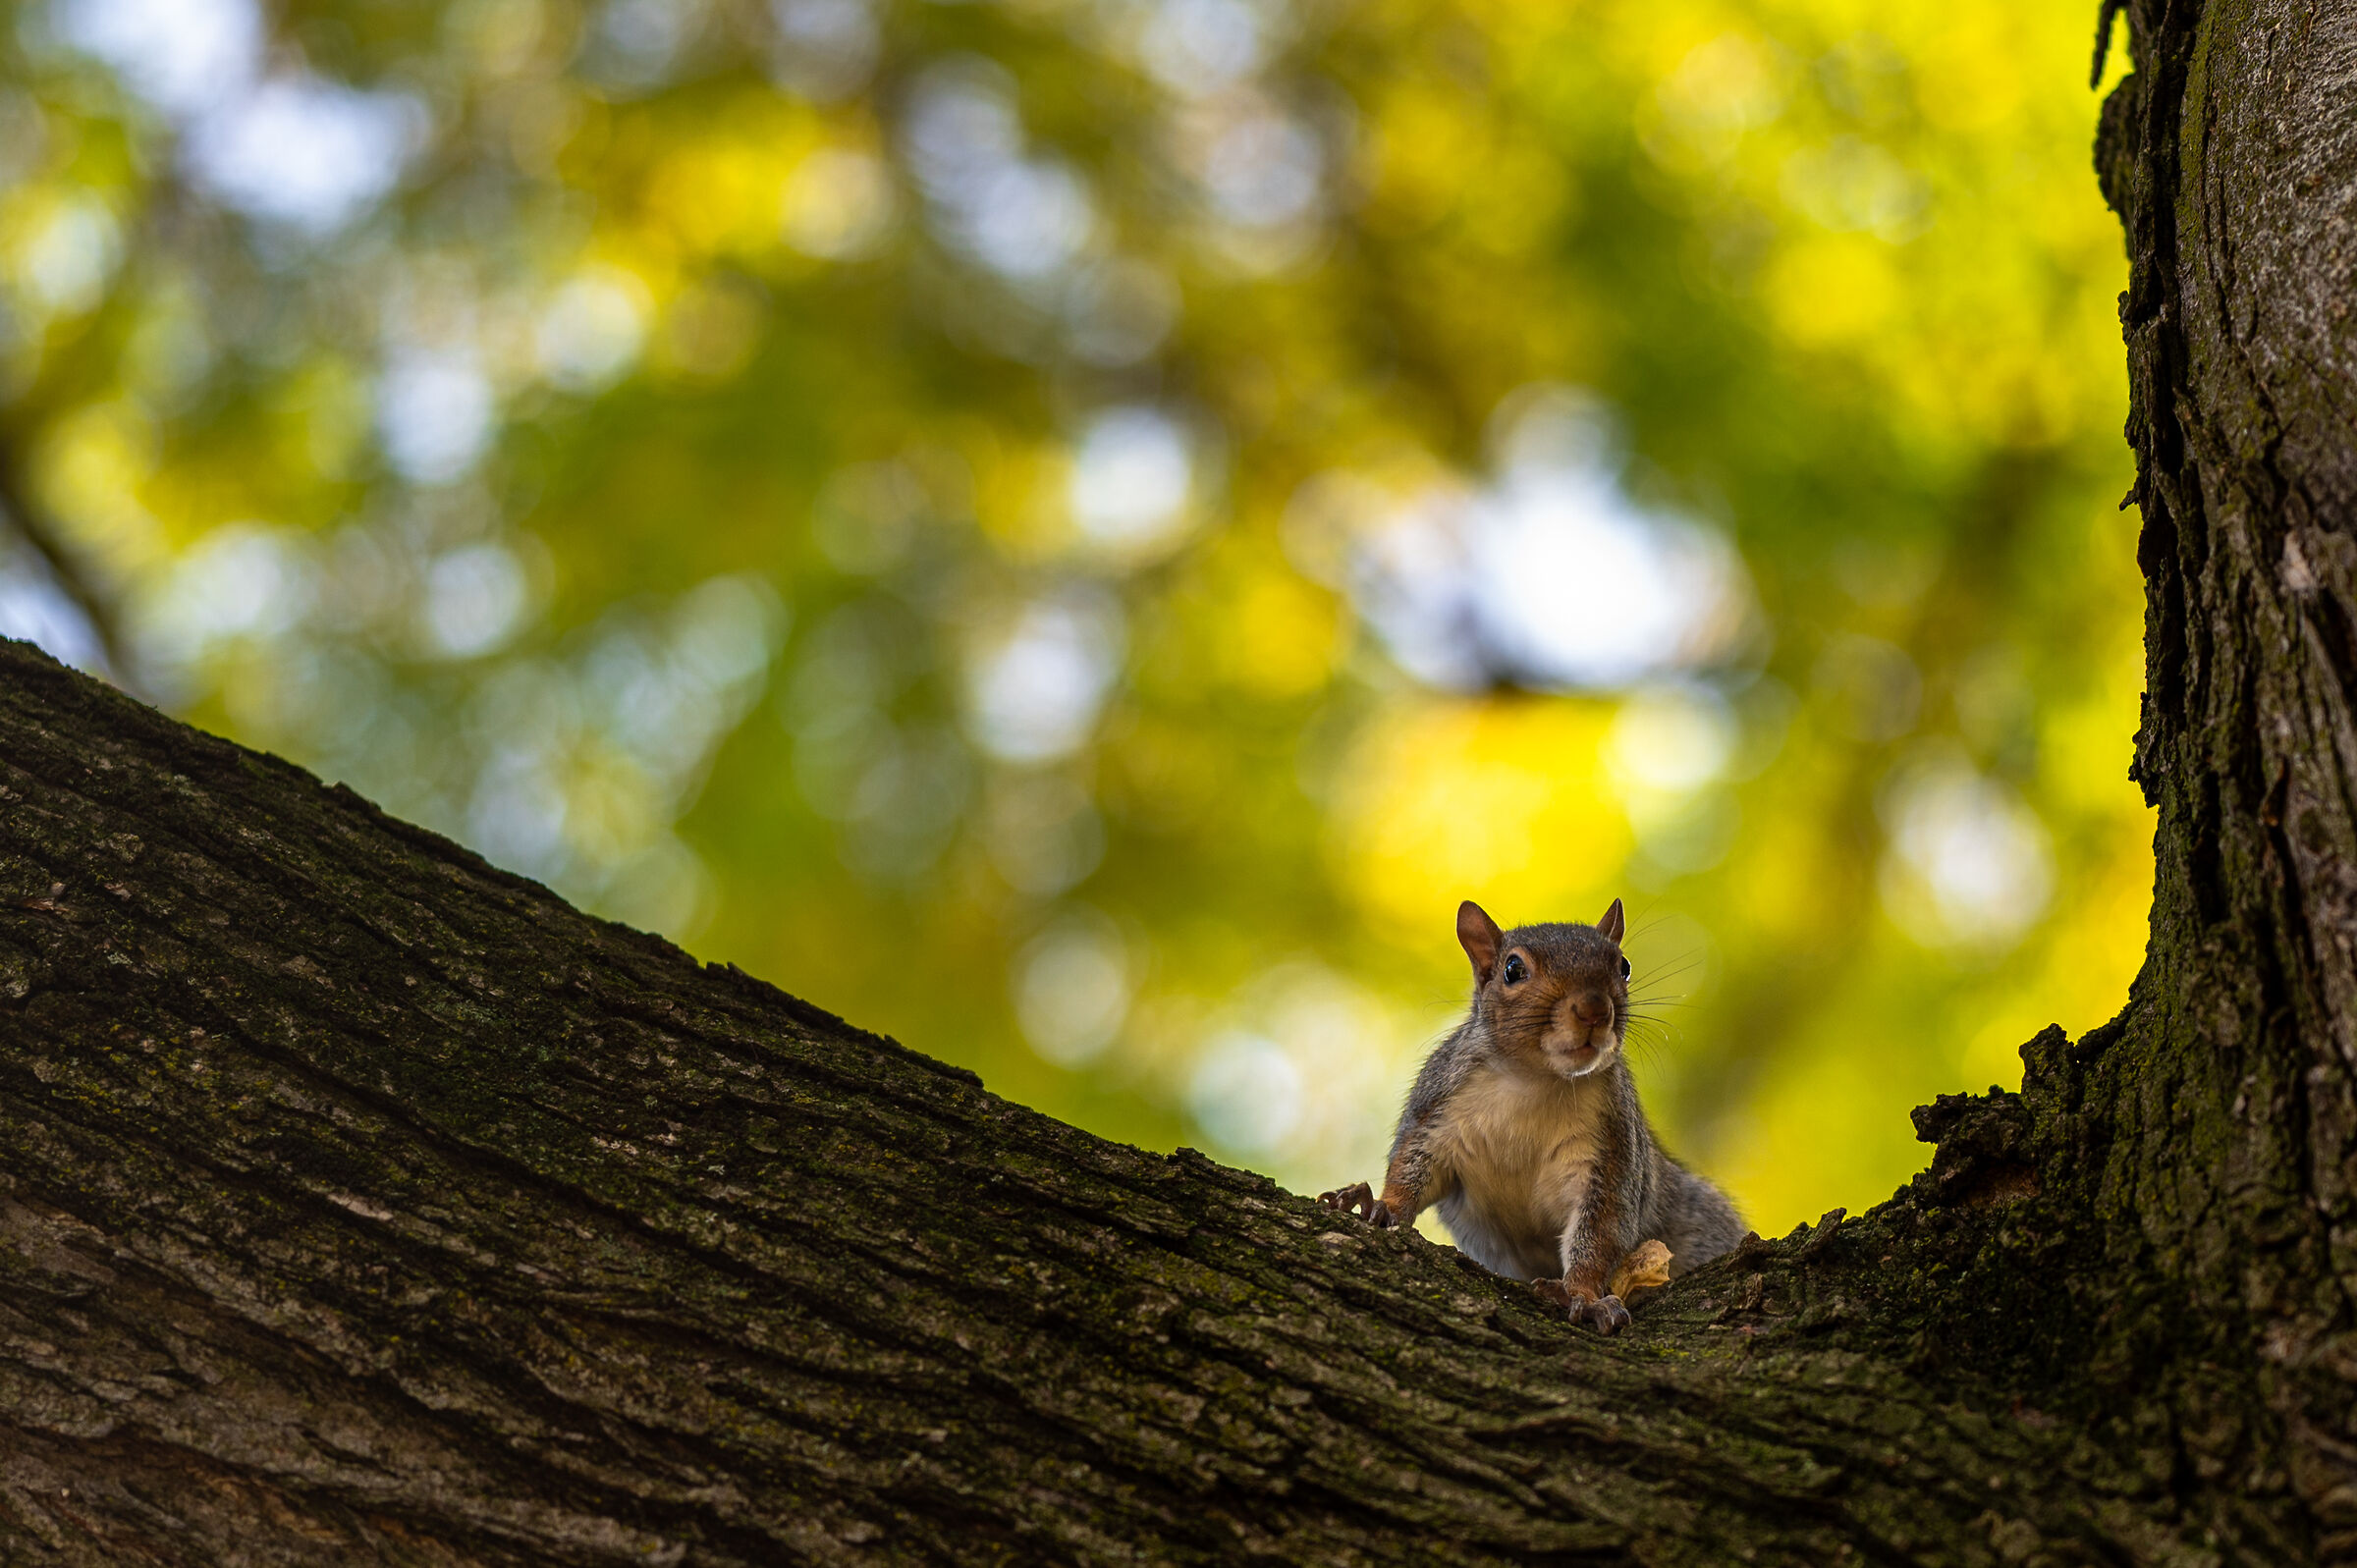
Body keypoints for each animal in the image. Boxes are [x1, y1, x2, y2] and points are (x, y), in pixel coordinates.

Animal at [1320, 897, 1745, 1333]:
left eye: (1623, 966)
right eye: (1512, 969)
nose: (1594, 1009)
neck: (1535, 1081)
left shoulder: (1612, 1152)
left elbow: (1601, 1231)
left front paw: (1582, 1295)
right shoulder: (1436, 1111)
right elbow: (1411, 1168)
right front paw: (1380, 1205)